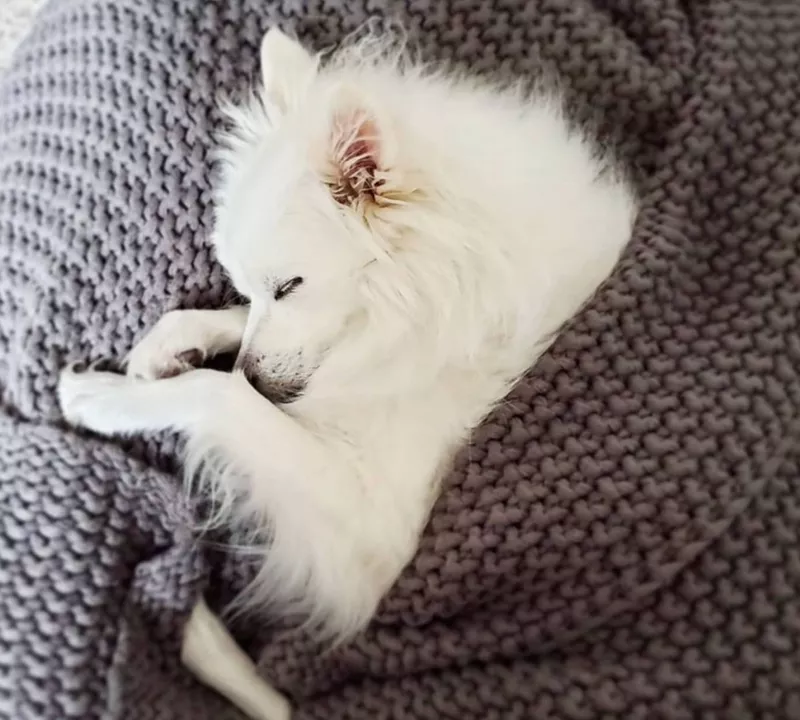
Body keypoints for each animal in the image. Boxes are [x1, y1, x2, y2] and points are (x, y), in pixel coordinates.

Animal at [56, 26, 636, 716]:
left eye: (290, 285)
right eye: (248, 284)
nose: (256, 379)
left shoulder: (378, 535)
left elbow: (218, 395)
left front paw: (103, 397)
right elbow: (236, 337)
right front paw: (170, 343)